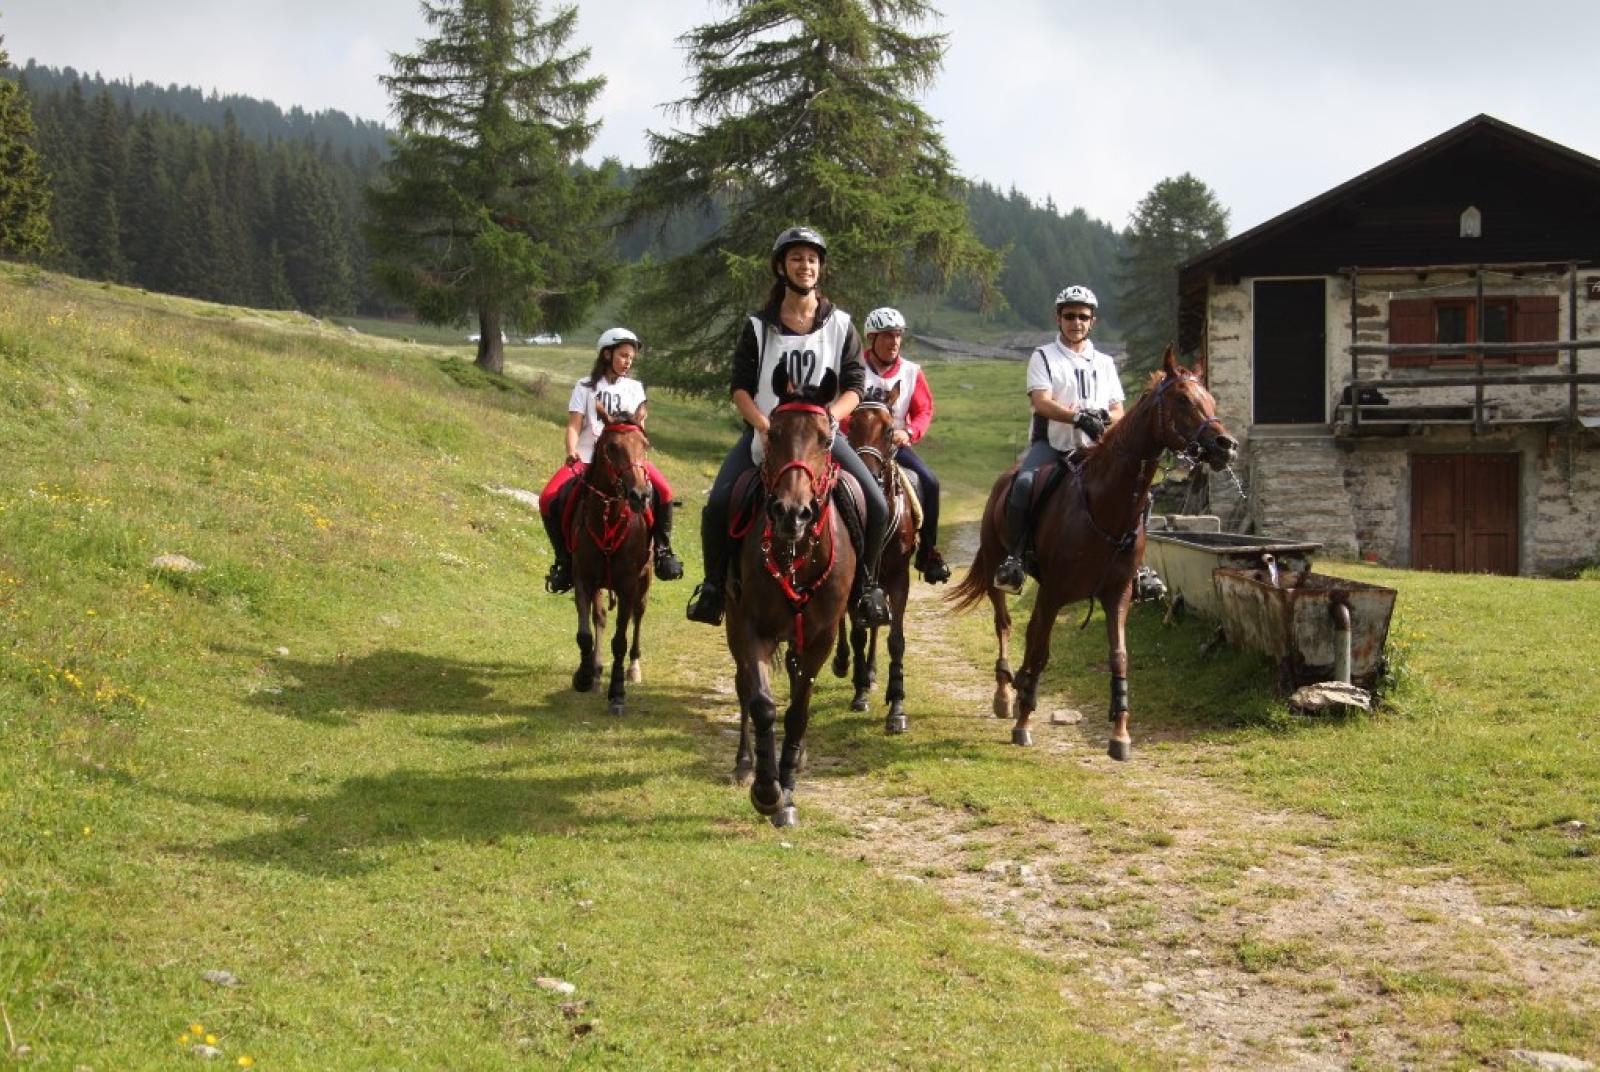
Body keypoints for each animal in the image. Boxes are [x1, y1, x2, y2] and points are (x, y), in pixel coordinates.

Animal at [572, 408, 652, 716]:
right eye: (612, 447)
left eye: (645, 445)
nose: (640, 495)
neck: (607, 519)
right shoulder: (584, 579)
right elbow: (585, 632)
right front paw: (584, 676)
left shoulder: (628, 584)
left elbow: (620, 640)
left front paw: (617, 693)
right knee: (601, 618)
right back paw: (595, 672)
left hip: (645, 579)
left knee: (638, 615)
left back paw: (634, 668)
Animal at [729, 364, 857, 825]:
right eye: (774, 433)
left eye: (825, 438)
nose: (791, 513)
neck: (794, 555)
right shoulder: (752, 628)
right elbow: (762, 702)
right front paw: (766, 790)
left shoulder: (821, 638)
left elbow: (799, 709)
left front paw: (786, 787)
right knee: (742, 685)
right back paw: (743, 763)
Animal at [832, 382, 921, 736]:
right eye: (852, 426)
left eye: (888, 430)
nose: (868, 476)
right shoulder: (857, 577)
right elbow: (856, 631)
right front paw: (859, 692)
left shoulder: (898, 579)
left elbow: (895, 640)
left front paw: (897, 707)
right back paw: (846, 664)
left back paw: (869, 673)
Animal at [947, 348, 1235, 761]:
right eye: (1182, 399)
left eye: (1210, 398)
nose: (1225, 445)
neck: (1104, 504)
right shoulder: (1054, 592)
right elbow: (1041, 650)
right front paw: (1024, 722)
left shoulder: (1117, 594)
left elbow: (1119, 656)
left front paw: (1120, 733)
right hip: (996, 573)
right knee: (1005, 624)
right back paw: (1005, 695)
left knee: (1027, 631)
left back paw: (1018, 691)